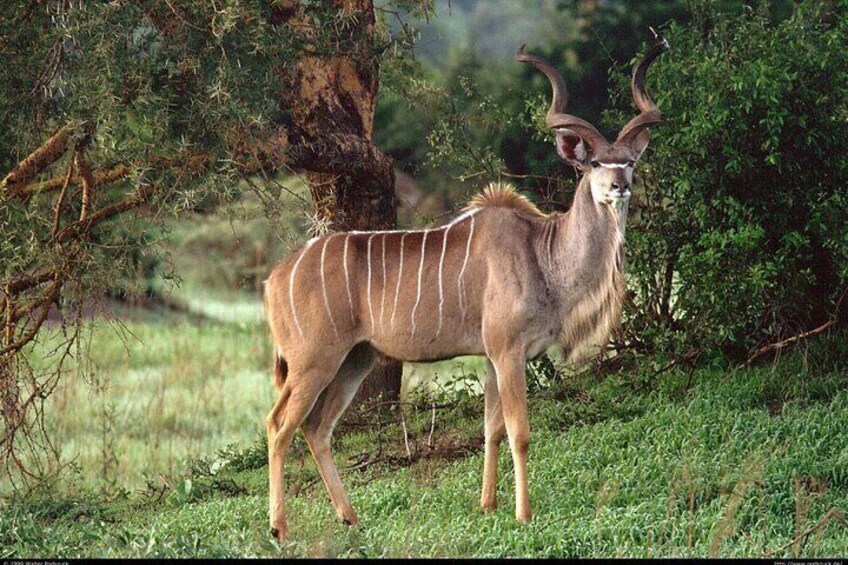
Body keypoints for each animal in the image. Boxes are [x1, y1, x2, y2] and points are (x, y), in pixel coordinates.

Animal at [262, 32, 668, 540]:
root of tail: (274, 278)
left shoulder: (492, 358)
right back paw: (280, 528)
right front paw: (523, 514)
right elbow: (519, 431)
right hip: (313, 360)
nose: (619, 186)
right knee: (279, 425)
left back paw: (350, 517)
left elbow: (491, 429)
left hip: (355, 360)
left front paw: (488, 506)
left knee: (317, 429)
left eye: (629, 161)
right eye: (594, 162)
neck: (542, 252)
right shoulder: (508, 352)